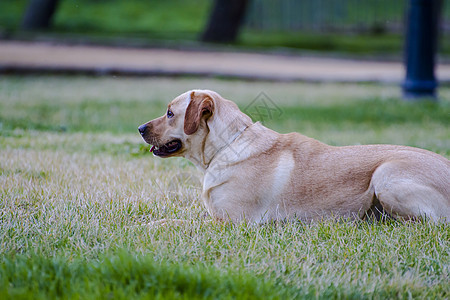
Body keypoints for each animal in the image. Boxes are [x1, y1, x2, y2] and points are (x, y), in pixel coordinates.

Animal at [139, 89, 448, 223]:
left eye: (170, 113)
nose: (140, 128)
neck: (228, 145)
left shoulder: (231, 222)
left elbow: (177, 222)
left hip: (385, 175)